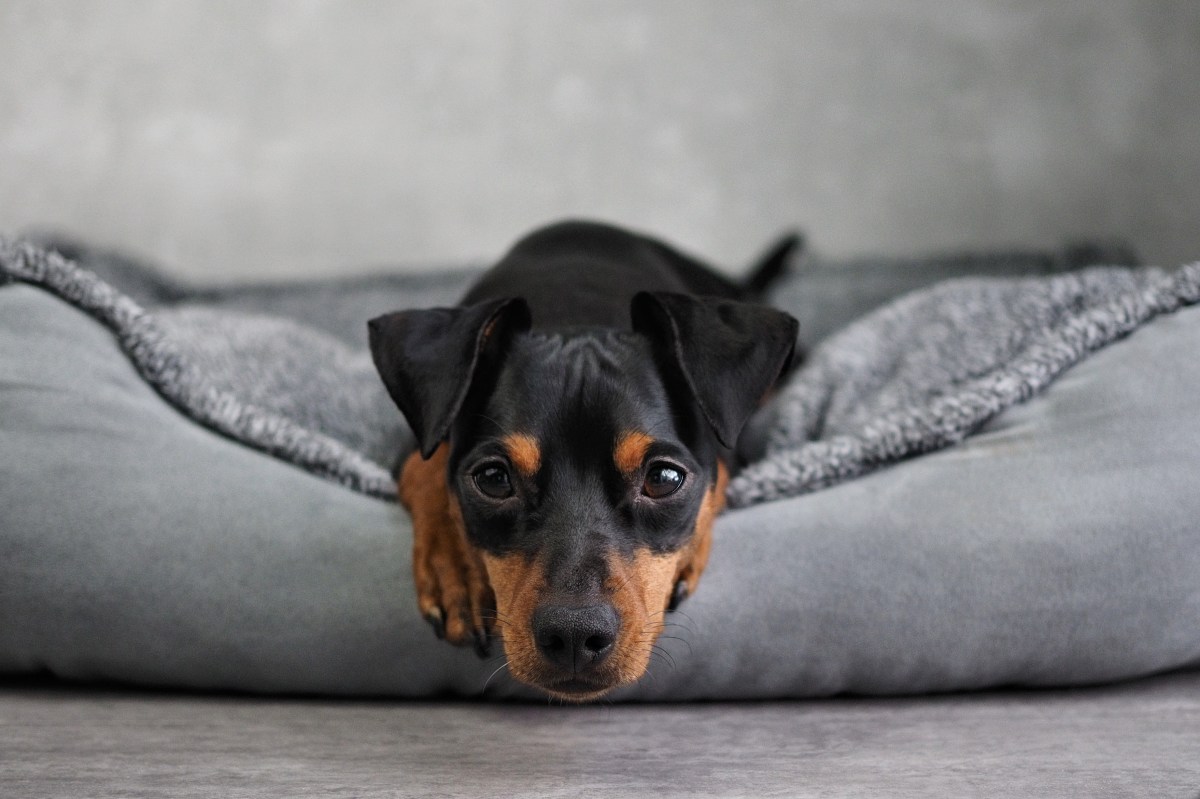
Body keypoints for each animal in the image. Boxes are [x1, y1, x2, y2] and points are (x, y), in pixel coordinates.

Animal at [364, 218, 796, 695]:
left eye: (663, 479)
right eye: (493, 479)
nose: (573, 634)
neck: (576, 313)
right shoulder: (414, 442)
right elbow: (426, 468)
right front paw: (457, 570)